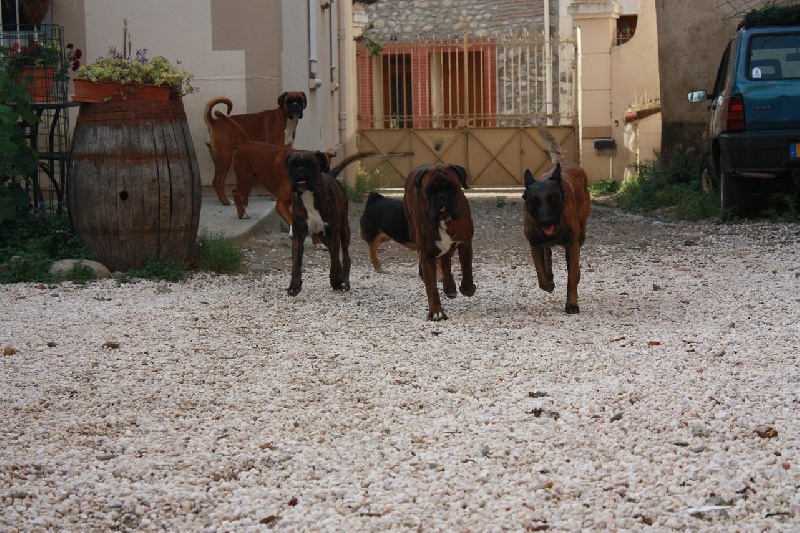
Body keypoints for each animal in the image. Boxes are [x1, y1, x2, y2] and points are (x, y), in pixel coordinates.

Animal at [286, 151, 353, 296]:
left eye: (310, 164)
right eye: (292, 165)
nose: (300, 170)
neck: (309, 195)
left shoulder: (333, 236)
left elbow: (334, 260)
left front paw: (335, 281)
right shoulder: (298, 238)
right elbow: (296, 264)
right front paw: (294, 286)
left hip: (344, 231)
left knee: (345, 256)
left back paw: (344, 281)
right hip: (323, 236)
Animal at [403, 164, 475, 321]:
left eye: (452, 187)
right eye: (430, 190)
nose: (442, 197)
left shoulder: (465, 243)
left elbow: (467, 269)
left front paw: (467, 289)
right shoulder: (427, 253)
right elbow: (431, 287)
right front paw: (436, 312)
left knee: (446, 260)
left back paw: (450, 287)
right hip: (413, 235)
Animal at [522, 126, 590, 314]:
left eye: (553, 199)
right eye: (534, 201)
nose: (546, 221)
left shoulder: (572, 245)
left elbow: (571, 279)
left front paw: (572, 304)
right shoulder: (534, 244)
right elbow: (540, 275)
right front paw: (548, 283)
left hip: (581, 234)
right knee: (547, 253)